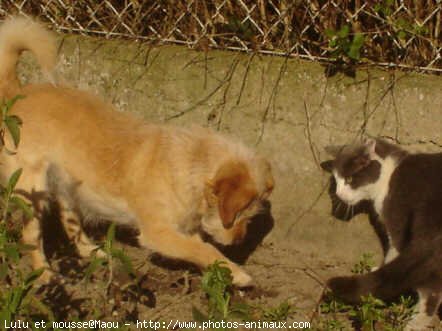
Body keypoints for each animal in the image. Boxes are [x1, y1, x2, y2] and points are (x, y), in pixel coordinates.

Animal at [0, 17, 272, 288]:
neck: (190, 162)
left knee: (71, 224)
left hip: (67, 187)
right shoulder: (158, 233)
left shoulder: (185, 231)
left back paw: (94, 253)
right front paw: (237, 273)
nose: (239, 241)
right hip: (33, 192)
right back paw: (44, 274)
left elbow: (203, 250)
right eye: (240, 215)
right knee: (31, 235)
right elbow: (205, 250)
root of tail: (17, 93)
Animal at [322, 139, 442, 330]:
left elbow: (392, 254)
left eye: (349, 179)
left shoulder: (397, 224)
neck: (389, 175)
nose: (339, 194)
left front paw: (379, 268)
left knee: (430, 292)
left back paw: (414, 323)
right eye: (336, 181)